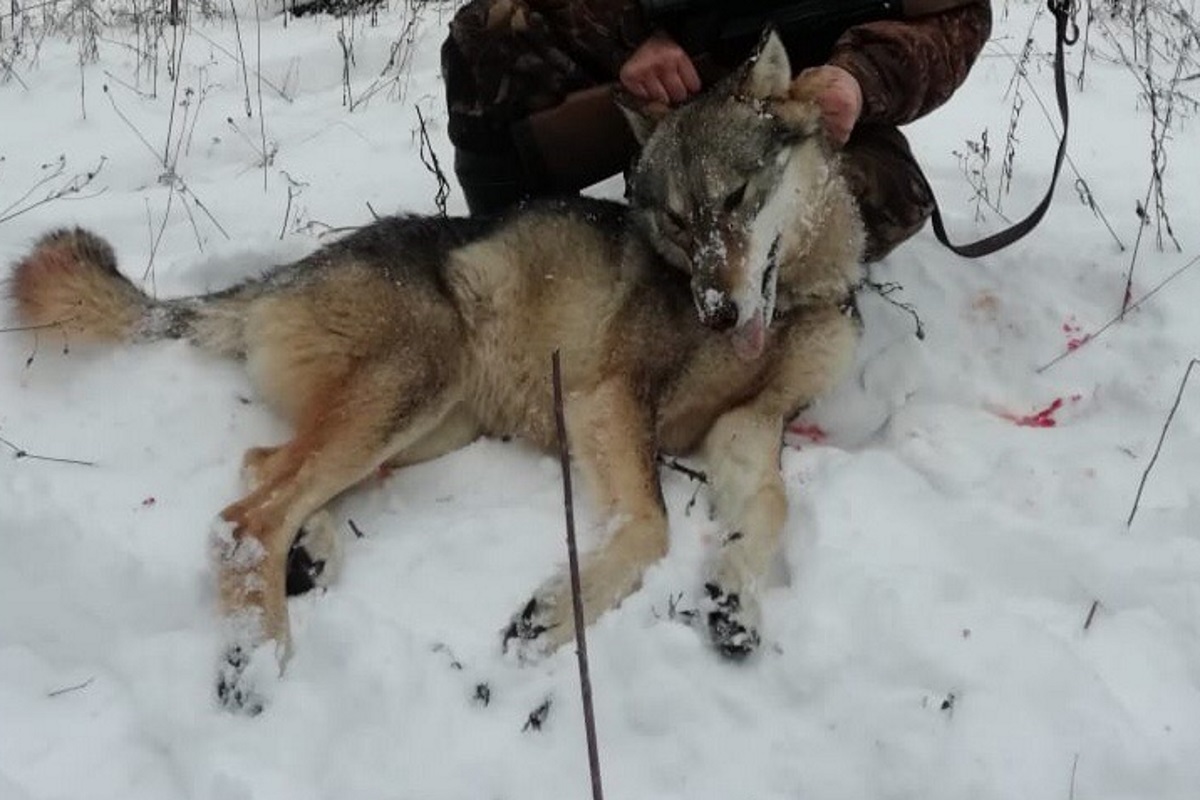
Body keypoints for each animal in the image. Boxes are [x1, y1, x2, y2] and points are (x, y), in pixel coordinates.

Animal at [14, 31, 868, 710]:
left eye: (737, 196)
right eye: (679, 222)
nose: (717, 312)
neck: (795, 299)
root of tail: (280, 277)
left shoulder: (750, 424)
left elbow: (770, 507)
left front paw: (734, 597)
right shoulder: (608, 399)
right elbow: (652, 525)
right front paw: (557, 612)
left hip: (430, 423)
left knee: (264, 467)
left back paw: (309, 552)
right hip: (414, 390)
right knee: (245, 517)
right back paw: (254, 659)